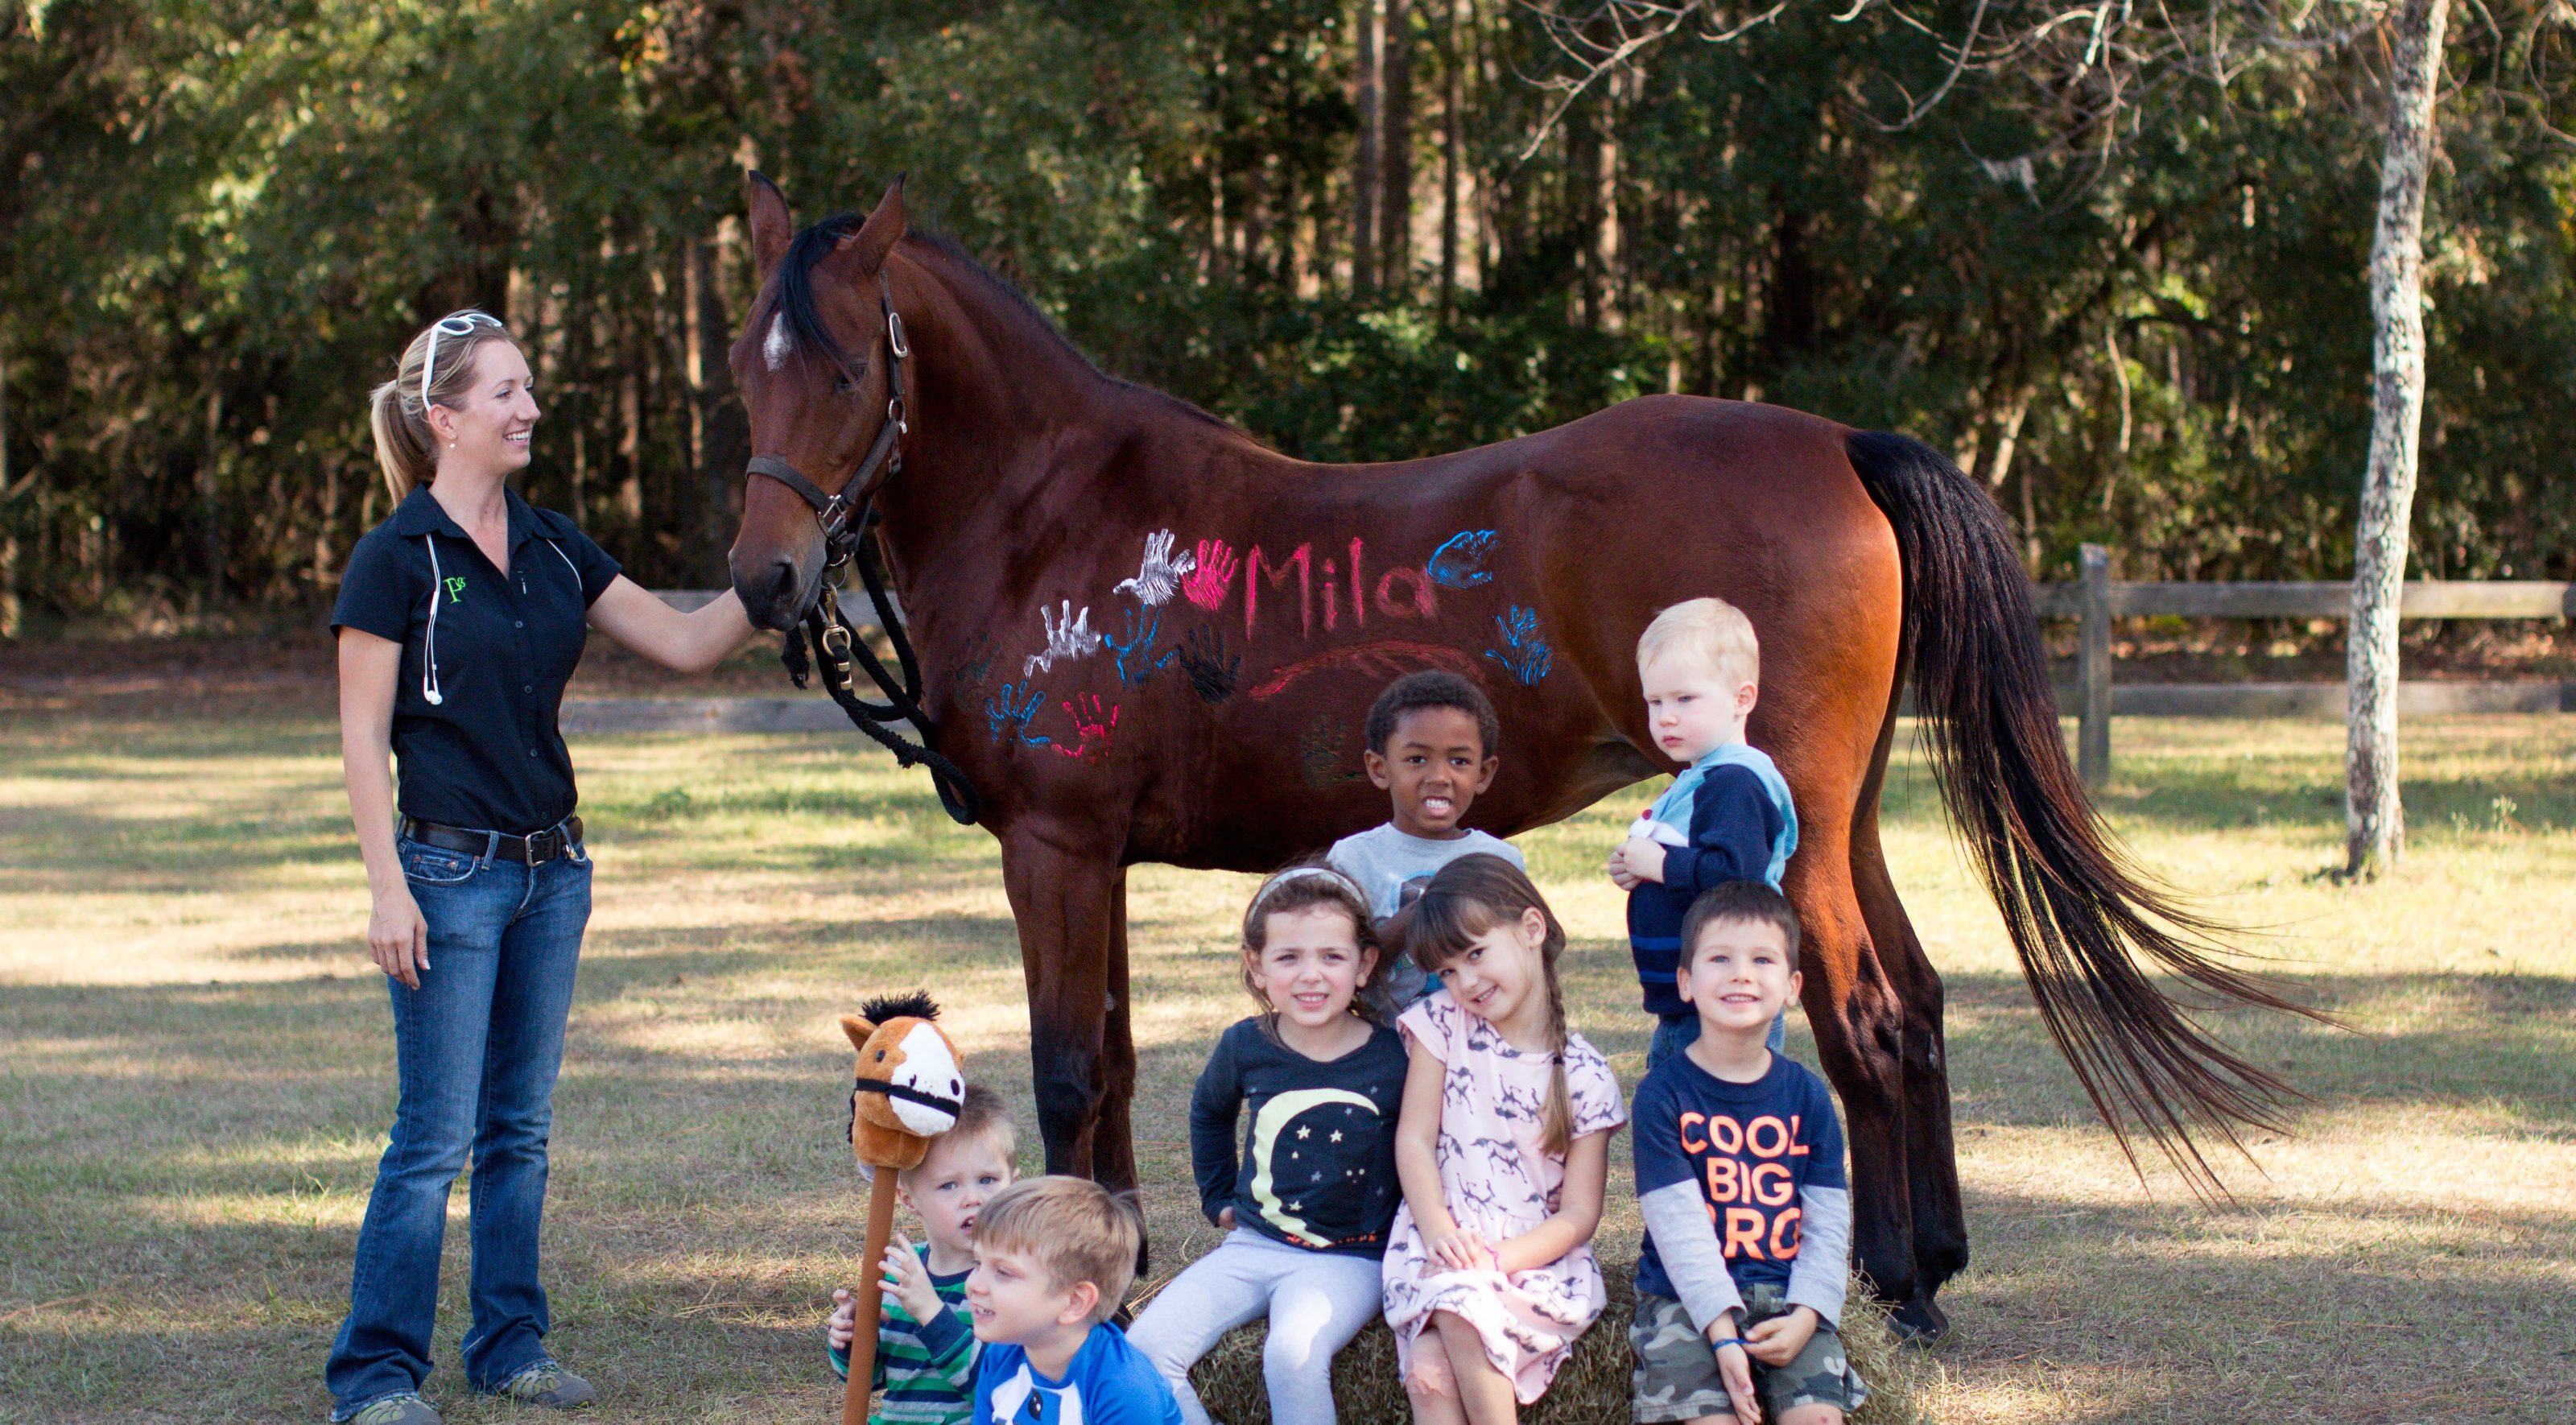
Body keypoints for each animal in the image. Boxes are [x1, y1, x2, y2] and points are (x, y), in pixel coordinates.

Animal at [722, 174, 2302, 1337]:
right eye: (745, 366)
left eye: (851, 367)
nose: (764, 580)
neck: (1059, 513)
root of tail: (1839, 444)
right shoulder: (1093, 854)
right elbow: (1106, 1057)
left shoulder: (1054, 846)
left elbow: (1063, 1068)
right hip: (1839, 816)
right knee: (1909, 1001)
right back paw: (1914, 1265)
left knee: (1865, 1015)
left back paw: (1899, 1293)